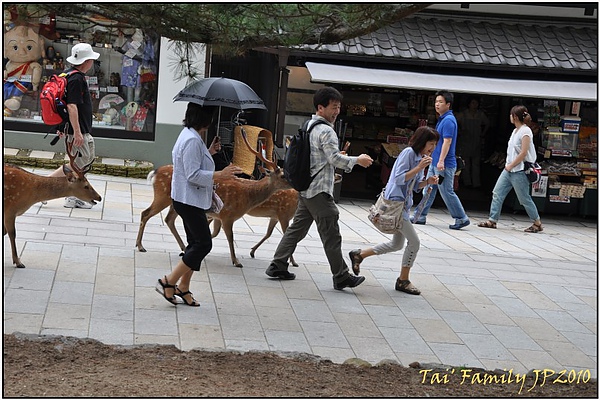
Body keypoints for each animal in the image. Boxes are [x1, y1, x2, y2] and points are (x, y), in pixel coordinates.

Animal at [135, 126, 296, 268]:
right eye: (283, 175)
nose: (295, 184)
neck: (247, 196)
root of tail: (155, 172)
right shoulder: (227, 215)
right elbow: (230, 237)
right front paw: (236, 261)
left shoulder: (218, 216)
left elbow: (213, 233)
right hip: (162, 196)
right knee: (146, 213)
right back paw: (140, 246)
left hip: (174, 203)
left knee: (168, 219)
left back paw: (181, 248)